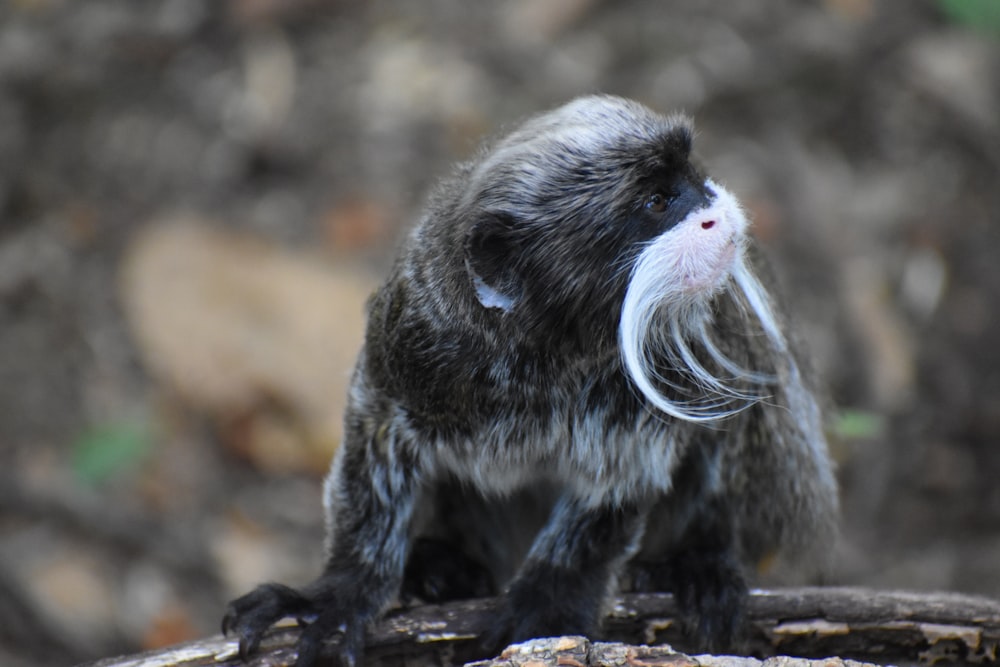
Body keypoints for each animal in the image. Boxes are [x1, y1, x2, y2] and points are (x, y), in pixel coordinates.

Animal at [223, 94, 840, 667]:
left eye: (691, 178)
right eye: (657, 201)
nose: (716, 210)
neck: (550, 356)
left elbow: (614, 494)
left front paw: (548, 609)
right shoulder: (410, 347)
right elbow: (374, 445)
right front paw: (340, 593)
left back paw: (698, 558)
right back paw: (442, 568)